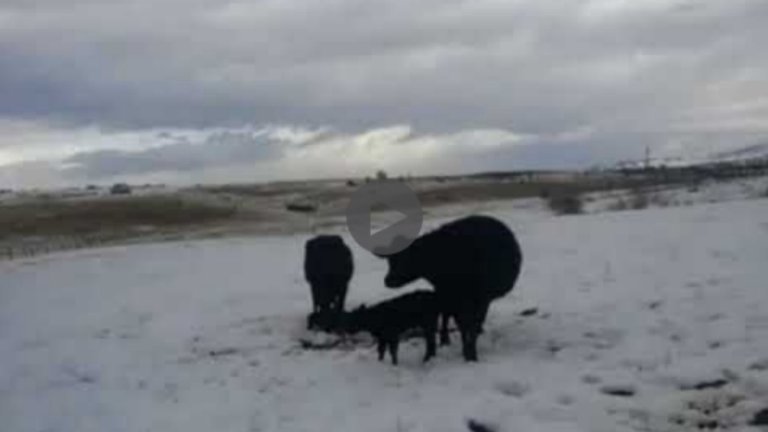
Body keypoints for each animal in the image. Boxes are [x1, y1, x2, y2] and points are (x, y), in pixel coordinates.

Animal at [378, 215, 520, 362]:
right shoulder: (450, 295)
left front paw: (471, 353)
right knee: (447, 314)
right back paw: (445, 339)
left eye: (405, 259)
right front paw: (466, 351)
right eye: (390, 261)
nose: (387, 281)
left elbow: (471, 325)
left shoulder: (479, 299)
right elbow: (461, 325)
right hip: (447, 295)